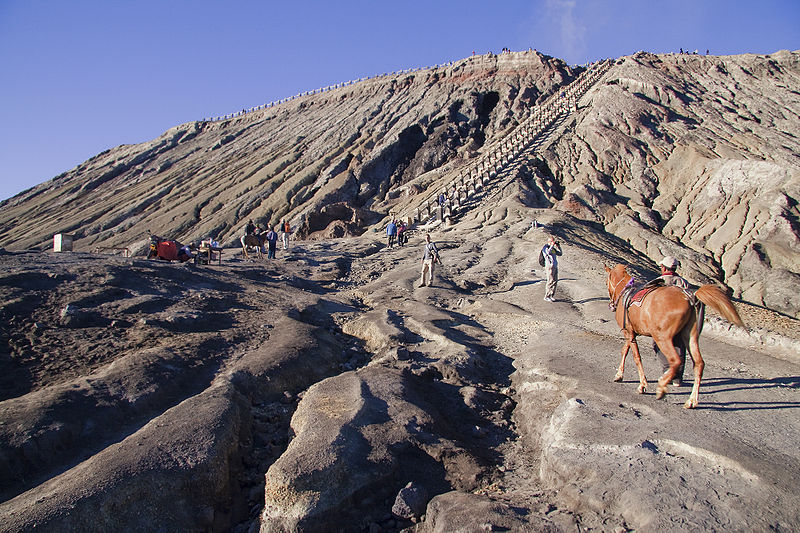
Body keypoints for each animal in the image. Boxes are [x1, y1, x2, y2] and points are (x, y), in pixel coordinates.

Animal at [608, 264, 744, 410]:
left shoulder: (629, 332)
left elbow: (636, 357)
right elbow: (625, 350)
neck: (625, 293)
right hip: (690, 336)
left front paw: (642, 385)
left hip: (662, 338)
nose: (611, 304)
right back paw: (691, 400)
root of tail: (690, 298)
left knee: (675, 360)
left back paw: (662, 387)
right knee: (699, 364)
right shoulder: (631, 332)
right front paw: (619, 375)